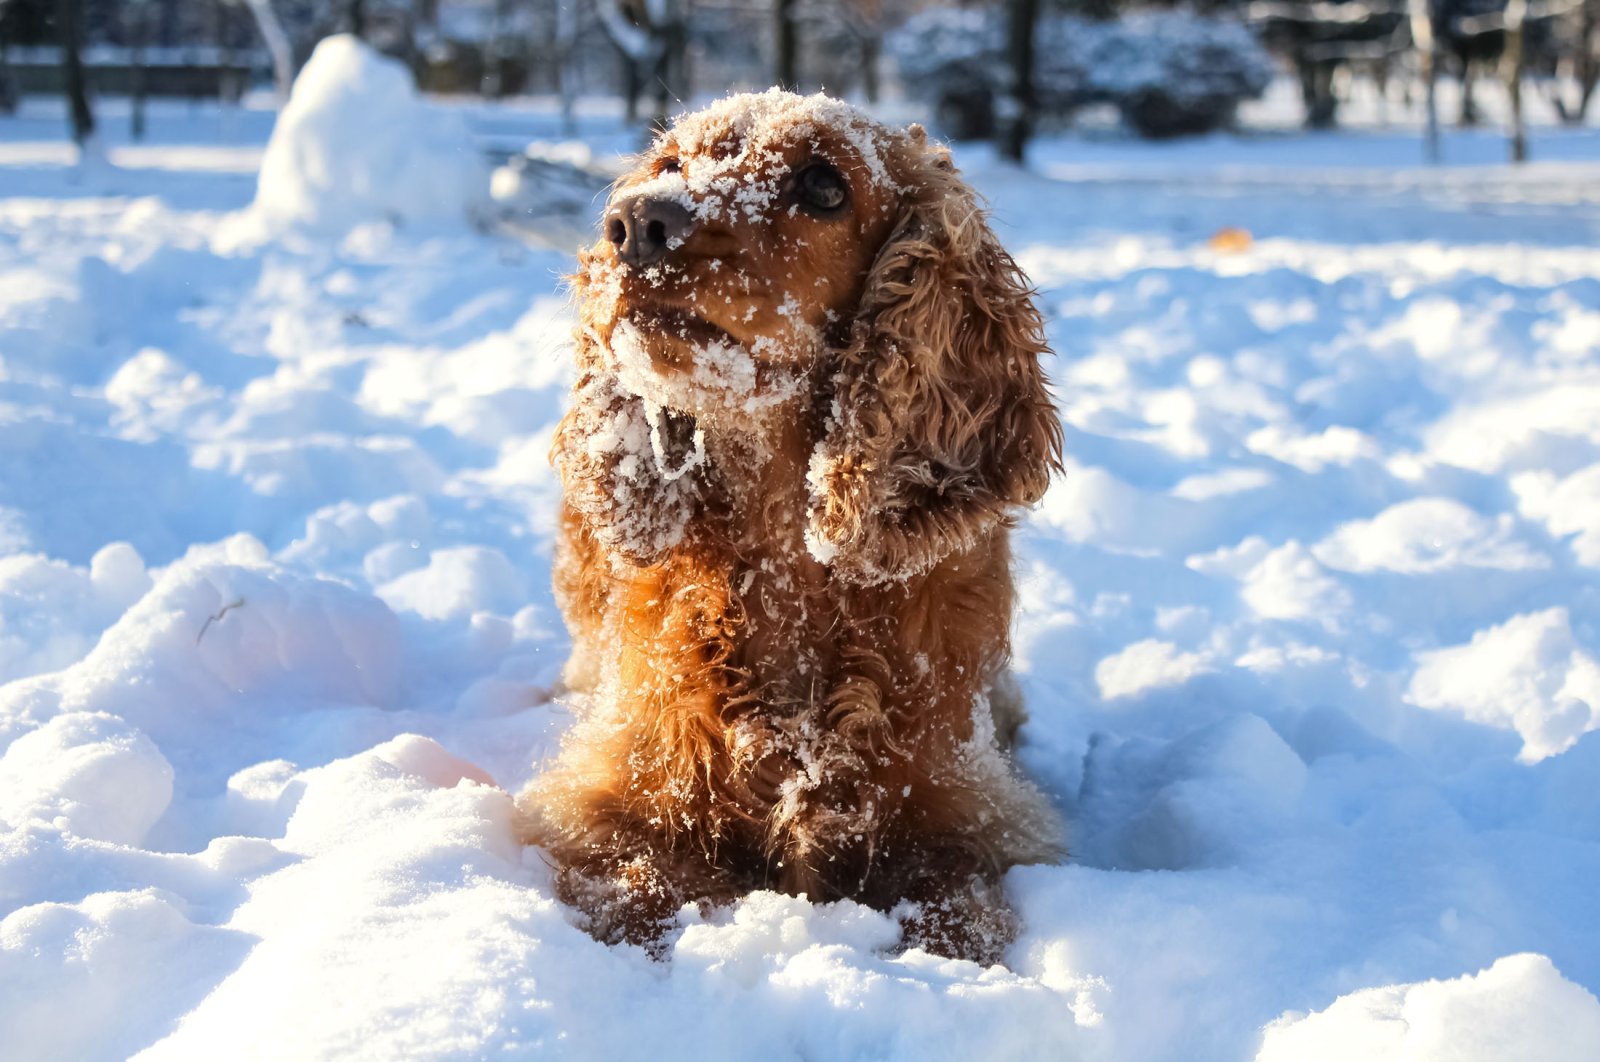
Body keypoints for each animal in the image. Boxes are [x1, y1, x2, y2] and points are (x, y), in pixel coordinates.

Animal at [521, 91, 1062, 959]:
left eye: (823, 184)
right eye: (670, 164)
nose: (635, 222)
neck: (787, 567)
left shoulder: (969, 810)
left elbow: (956, 910)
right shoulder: (609, 801)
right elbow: (640, 892)